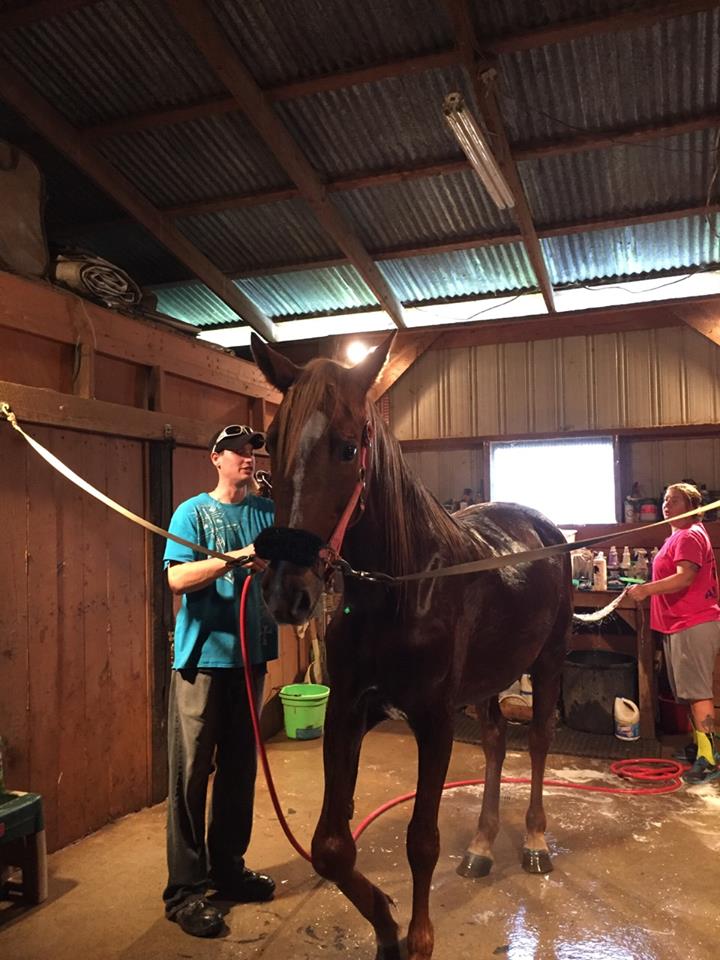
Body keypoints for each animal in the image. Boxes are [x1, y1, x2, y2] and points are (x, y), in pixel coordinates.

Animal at [250, 336, 572, 960]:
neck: (400, 589)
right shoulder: (349, 711)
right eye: (271, 442)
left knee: (539, 741)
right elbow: (330, 846)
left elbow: (421, 840)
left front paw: (418, 937)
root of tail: (543, 526)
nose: (285, 592)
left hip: (548, 663)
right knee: (496, 741)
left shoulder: (434, 721)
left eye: (348, 448)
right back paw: (481, 847)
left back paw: (535, 841)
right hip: (488, 680)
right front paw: (386, 925)